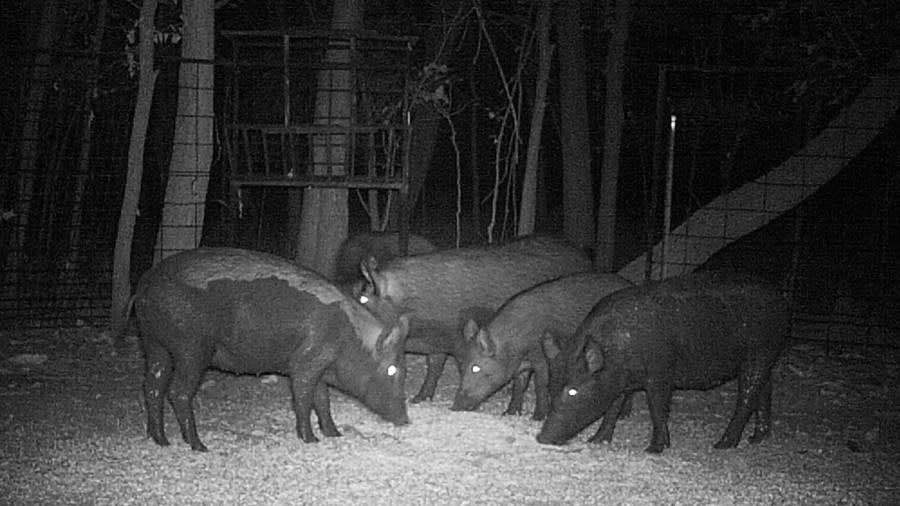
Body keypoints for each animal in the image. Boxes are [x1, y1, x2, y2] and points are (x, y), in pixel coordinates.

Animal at [134, 247, 412, 448]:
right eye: (392, 370)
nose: (406, 420)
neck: (349, 338)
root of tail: (146, 283)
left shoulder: (319, 367)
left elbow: (322, 400)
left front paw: (335, 435)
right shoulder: (305, 362)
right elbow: (303, 397)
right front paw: (311, 440)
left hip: (154, 344)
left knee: (152, 386)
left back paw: (161, 441)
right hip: (191, 348)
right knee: (177, 392)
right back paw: (199, 446)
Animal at [356, 234, 596, 404]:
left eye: (362, 299)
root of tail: (584, 255)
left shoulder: (462, 341)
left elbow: (461, 368)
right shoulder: (438, 343)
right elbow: (434, 367)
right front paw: (419, 399)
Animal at [450, 272, 632, 420]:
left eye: (476, 368)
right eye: (461, 367)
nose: (454, 407)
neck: (515, 347)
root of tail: (629, 283)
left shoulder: (542, 358)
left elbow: (540, 385)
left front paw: (538, 418)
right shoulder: (522, 367)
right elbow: (519, 386)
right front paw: (509, 413)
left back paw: (623, 416)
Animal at [536, 270, 784, 452]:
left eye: (573, 391)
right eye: (551, 387)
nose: (541, 437)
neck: (617, 352)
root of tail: (779, 295)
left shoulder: (660, 375)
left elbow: (657, 409)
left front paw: (654, 449)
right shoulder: (622, 382)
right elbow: (613, 409)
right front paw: (597, 441)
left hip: (758, 352)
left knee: (747, 396)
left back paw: (723, 444)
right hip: (764, 358)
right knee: (765, 389)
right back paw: (757, 438)